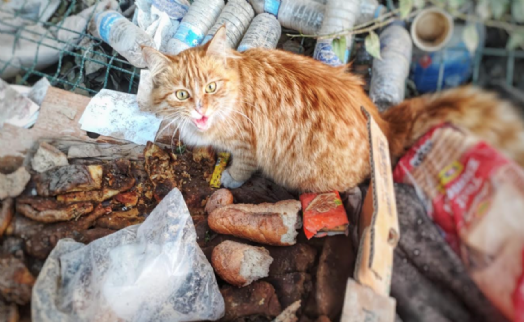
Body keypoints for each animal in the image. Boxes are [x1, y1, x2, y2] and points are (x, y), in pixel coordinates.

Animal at [142, 26, 524, 192]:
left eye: (210, 87)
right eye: (181, 95)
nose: (200, 110)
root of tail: (383, 122)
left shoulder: (247, 145)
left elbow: (243, 166)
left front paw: (232, 177)